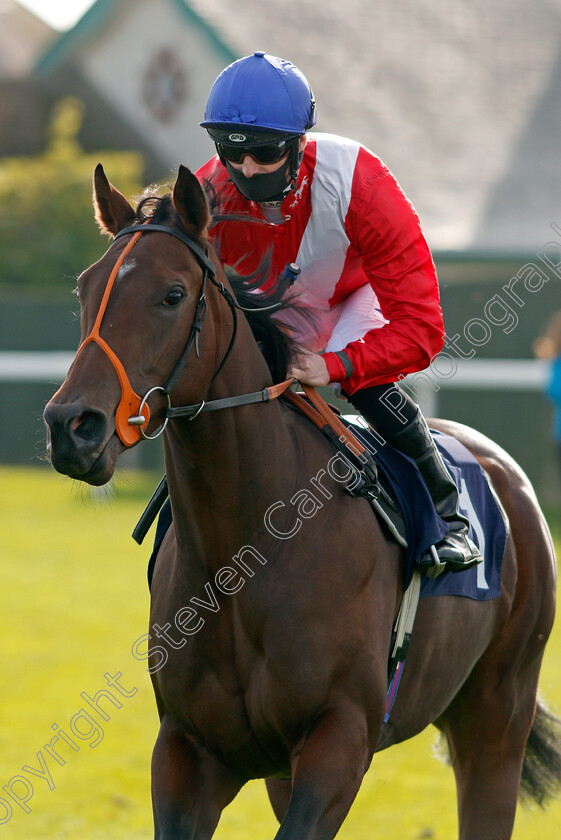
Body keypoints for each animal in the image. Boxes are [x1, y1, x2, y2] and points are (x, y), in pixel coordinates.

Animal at [44, 164, 560, 840]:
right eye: (85, 289)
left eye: (173, 295)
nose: (71, 426)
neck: (244, 551)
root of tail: (510, 477)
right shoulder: (190, 750)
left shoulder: (339, 737)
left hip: (497, 713)